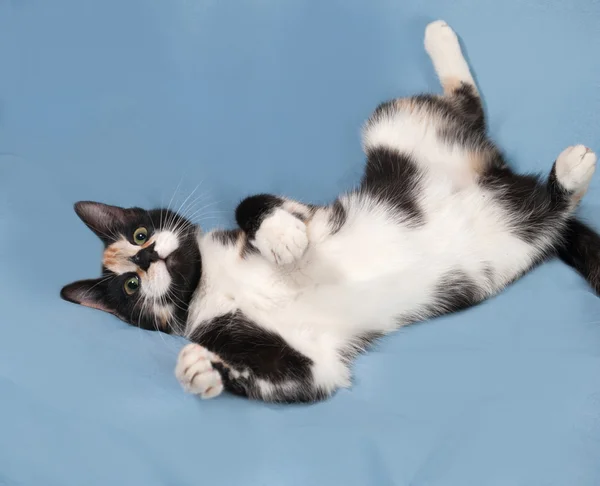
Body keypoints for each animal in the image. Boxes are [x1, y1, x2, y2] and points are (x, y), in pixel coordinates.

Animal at [61, 21, 600, 402]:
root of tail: (501, 178)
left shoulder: (305, 209)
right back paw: (567, 177)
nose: (148, 257)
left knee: (466, 109)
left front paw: (281, 238)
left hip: (392, 124)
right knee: (549, 205)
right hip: (526, 228)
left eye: (138, 233)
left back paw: (441, 36)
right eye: (131, 286)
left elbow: (252, 203)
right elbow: (298, 379)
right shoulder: (310, 356)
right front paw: (201, 371)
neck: (210, 280)